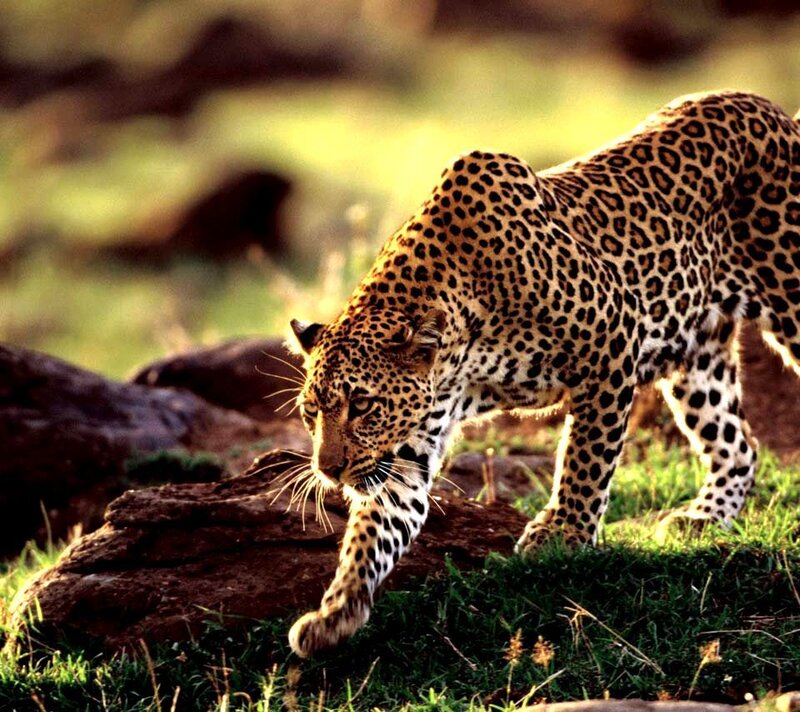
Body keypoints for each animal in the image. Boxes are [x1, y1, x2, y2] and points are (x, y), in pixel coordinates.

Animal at [285, 91, 800, 658]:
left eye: (362, 406)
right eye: (311, 412)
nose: (329, 470)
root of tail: (774, 111)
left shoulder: (613, 339)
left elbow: (585, 457)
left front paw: (565, 535)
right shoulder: (410, 447)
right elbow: (376, 530)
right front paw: (336, 612)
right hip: (699, 355)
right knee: (738, 444)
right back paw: (703, 518)